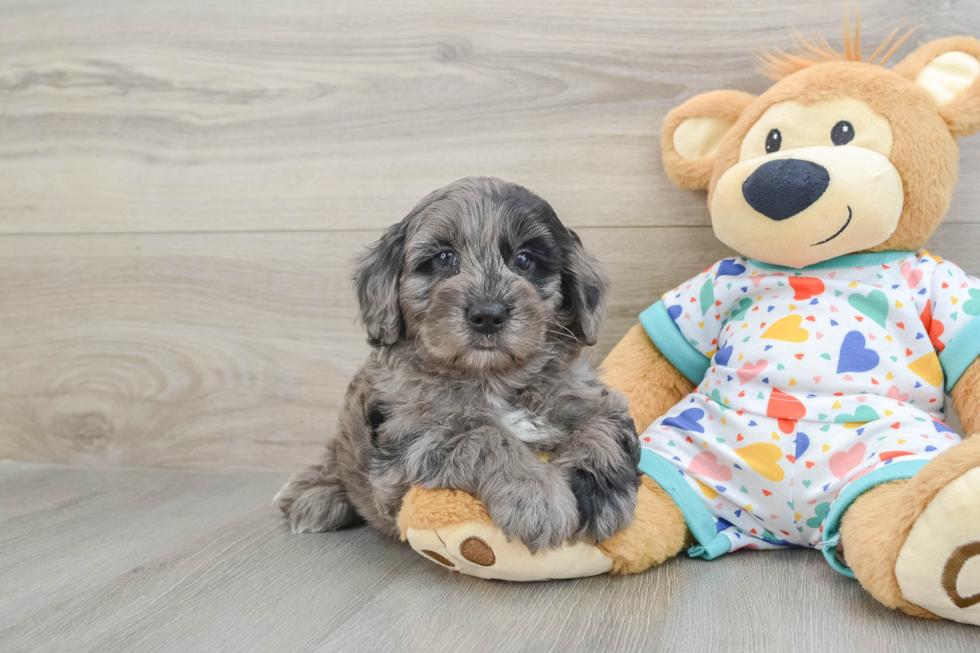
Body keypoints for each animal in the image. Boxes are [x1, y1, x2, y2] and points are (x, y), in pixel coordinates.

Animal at [276, 177, 644, 552]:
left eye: (524, 260)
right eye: (444, 258)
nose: (488, 315)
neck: (490, 376)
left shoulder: (592, 397)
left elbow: (601, 427)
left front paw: (598, 491)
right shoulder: (407, 452)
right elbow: (487, 436)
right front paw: (536, 495)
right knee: (332, 461)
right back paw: (316, 497)